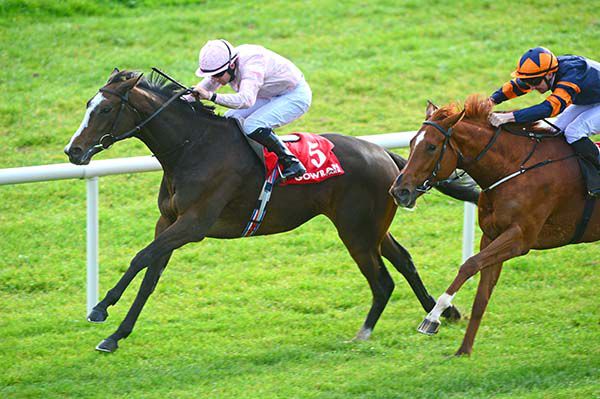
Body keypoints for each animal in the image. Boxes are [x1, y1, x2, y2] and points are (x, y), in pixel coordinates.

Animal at [64, 69, 478, 354]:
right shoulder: (168, 221)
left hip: (356, 232)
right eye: (86, 106)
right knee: (404, 261)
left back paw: (365, 333)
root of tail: (385, 155)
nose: (73, 151)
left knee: (383, 281)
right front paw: (115, 335)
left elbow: (140, 258)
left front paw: (100, 308)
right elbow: (150, 275)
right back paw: (441, 313)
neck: (193, 147)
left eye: (103, 108)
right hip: (371, 227)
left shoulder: (194, 224)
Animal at [386, 95, 596, 358]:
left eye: (431, 147)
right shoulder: (492, 236)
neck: (515, 168)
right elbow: (481, 294)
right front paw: (463, 350)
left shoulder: (520, 238)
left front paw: (433, 317)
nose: (399, 191)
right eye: (412, 142)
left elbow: (469, 265)